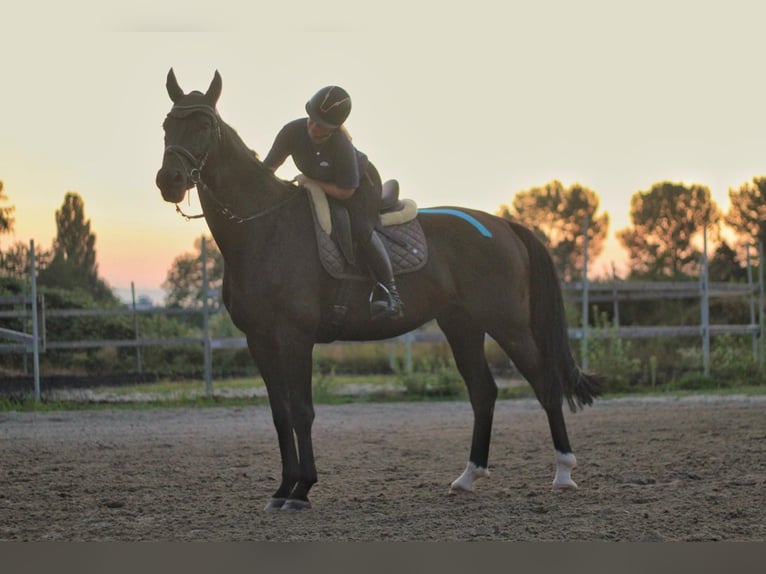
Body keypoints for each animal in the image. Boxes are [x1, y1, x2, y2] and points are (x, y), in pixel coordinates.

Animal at [153, 68, 604, 512]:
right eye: (167, 124)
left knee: (545, 384)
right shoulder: (259, 340)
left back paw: (564, 473)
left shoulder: (295, 337)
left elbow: (302, 411)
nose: (169, 180)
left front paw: (302, 490)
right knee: (483, 392)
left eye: (205, 125)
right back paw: (468, 477)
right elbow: (280, 414)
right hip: (462, 325)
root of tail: (503, 225)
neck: (264, 227)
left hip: (507, 323)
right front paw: (282, 489)